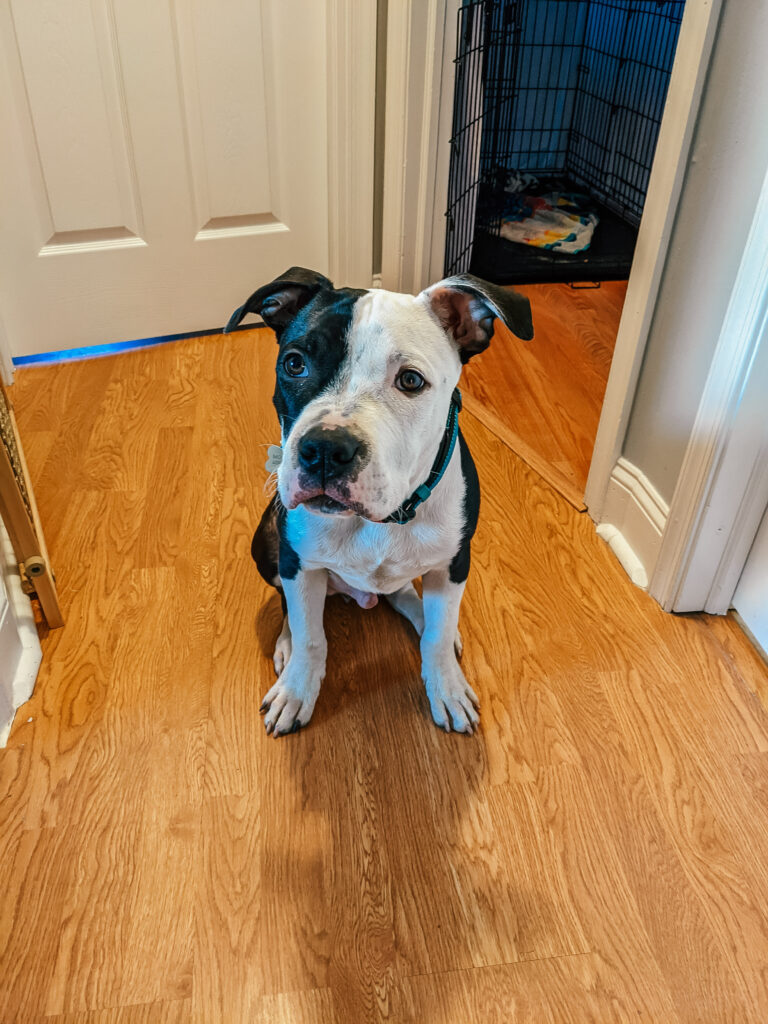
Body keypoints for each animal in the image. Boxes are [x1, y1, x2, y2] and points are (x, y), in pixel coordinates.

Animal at [225, 266, 532, 737]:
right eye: (294, 363)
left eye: (411, 380)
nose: (325, 449)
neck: (384, 518)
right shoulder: (297, 560)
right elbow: (311, 635)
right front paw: (297, 688)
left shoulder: (454, 562)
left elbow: (437, 637)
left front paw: (446, 686)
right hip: (267, 541)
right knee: (289, 604)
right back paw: (287, 643)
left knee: (408, 597)